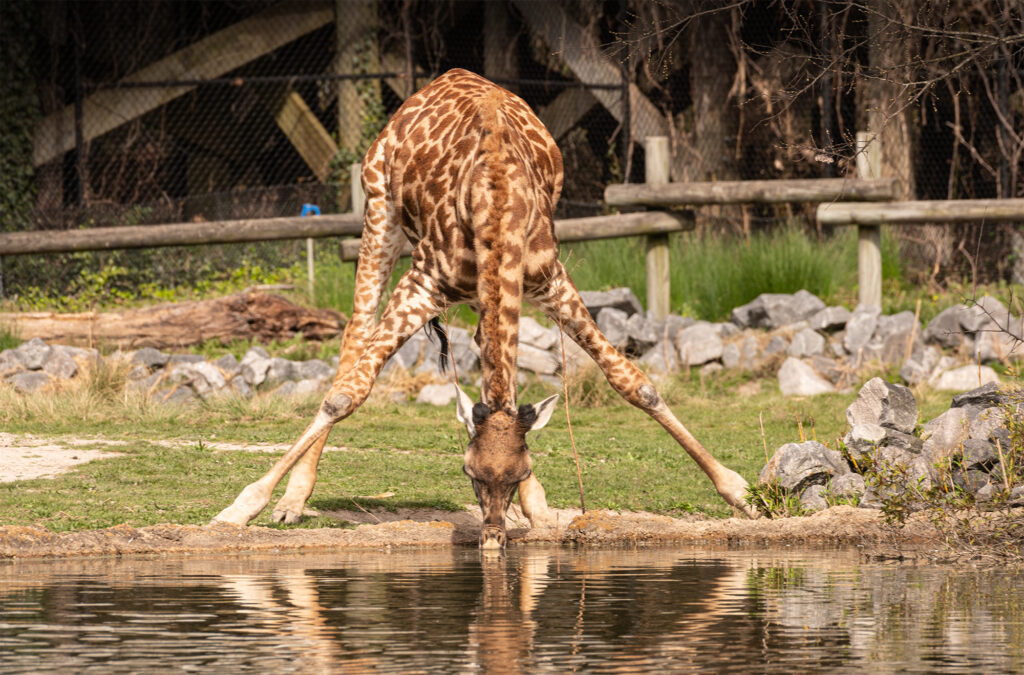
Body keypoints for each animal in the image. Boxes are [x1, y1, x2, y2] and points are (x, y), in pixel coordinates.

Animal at [213, 69, 757, 546]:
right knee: (355, 335)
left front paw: (741, 493)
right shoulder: (422, 283)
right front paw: (241, 508)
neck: (500, 200)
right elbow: (345, 394)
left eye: (521, 471)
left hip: (479, 292)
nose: (493, 539)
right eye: (466, 472)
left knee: (489, 361)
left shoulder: (550, 281)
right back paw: (292, 502)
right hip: (378, 211)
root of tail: (441, 79)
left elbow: (633, 382)